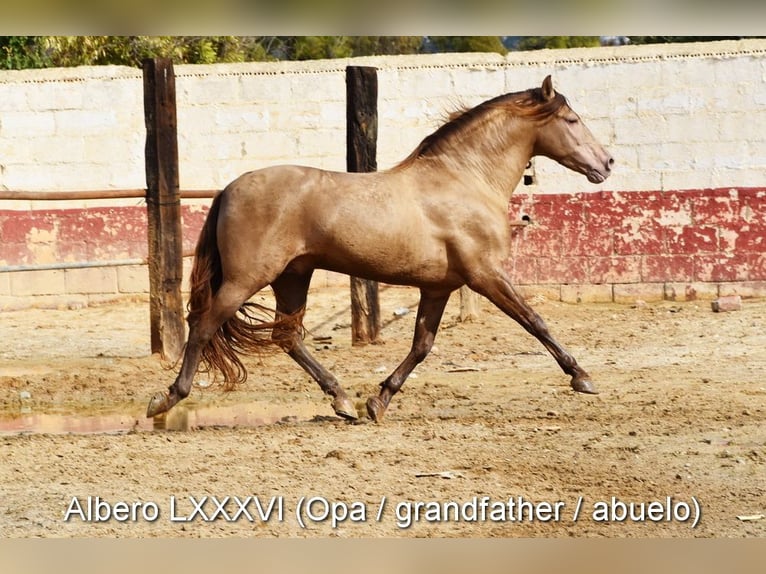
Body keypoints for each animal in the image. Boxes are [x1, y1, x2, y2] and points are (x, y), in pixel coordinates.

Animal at [147, 75, 616, 424]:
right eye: (572, 119)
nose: (607, 163)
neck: (465, 179)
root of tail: (228, 188)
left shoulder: (439, 287)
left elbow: (422, 345)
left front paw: (378, 401)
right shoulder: (485, 275)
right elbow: (535, 321)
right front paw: (582, 377)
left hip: (293, 277)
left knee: (287, 336)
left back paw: (342, 400)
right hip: (248, 278)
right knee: (204, 326)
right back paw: (166, 399)